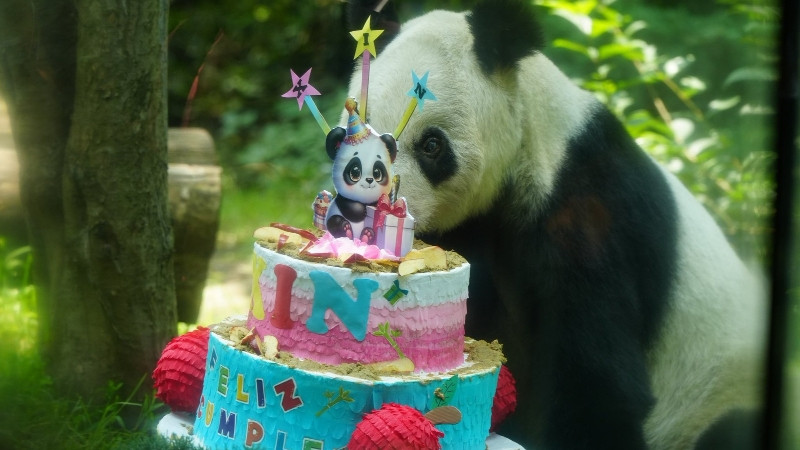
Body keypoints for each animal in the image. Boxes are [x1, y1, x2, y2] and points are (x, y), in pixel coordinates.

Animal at [324, 97, 398, 242]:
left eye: (377, 173)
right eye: (355, 172)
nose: (369, 180)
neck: (365, 201)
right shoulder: (343, 199)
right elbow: (348, 204)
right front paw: (361, 211)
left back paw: (367, 235)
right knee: (334, 221)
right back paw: (346, 230)